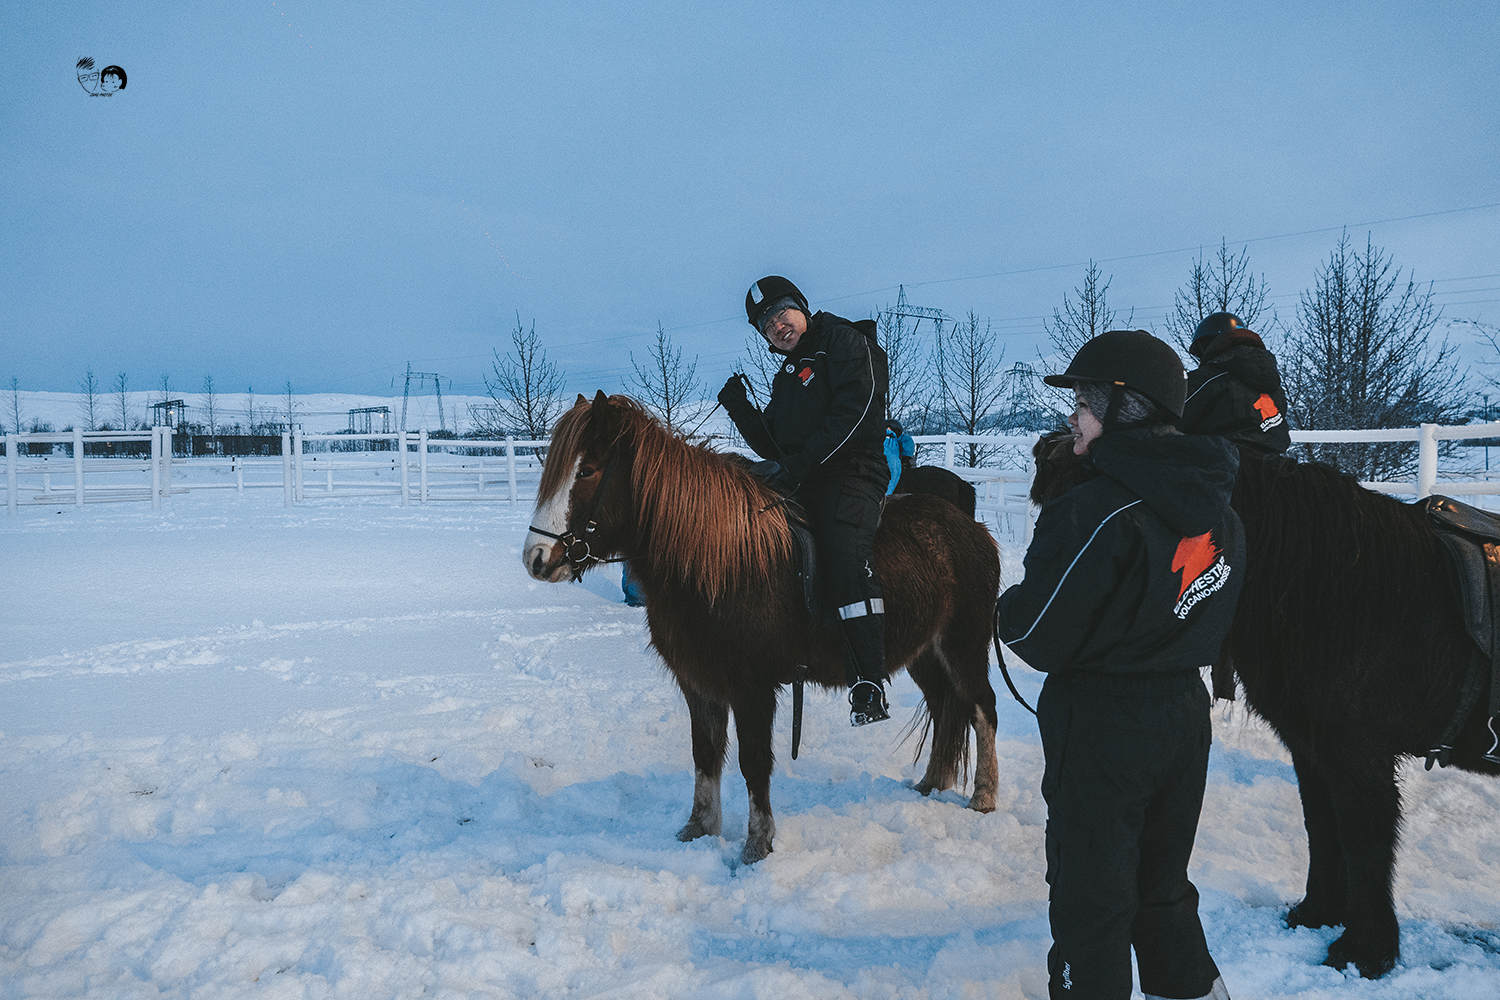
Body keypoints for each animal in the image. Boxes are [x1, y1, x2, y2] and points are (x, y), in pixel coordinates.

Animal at [522, 395, 1002, 863]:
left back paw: (983, 796)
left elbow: (753, 762)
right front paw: (699, 830)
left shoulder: (752, 687)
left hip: (963, 645)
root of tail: (972, 528)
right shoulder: (698, 682)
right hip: (925, 652)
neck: (718, 565)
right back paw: (932, 784)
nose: (536, 559)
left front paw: (757, 845)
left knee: (982, 708)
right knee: (945, 708)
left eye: (586, 470)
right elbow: (705, 754)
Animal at [1032, 431, 1500, 977]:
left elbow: (1364, 840)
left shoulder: (1358, 755)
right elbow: (1322, 826)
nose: (1045, 450)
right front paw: (1318, 913)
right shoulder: (1314, 749)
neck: (1350, 590)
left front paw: (1364, 951)